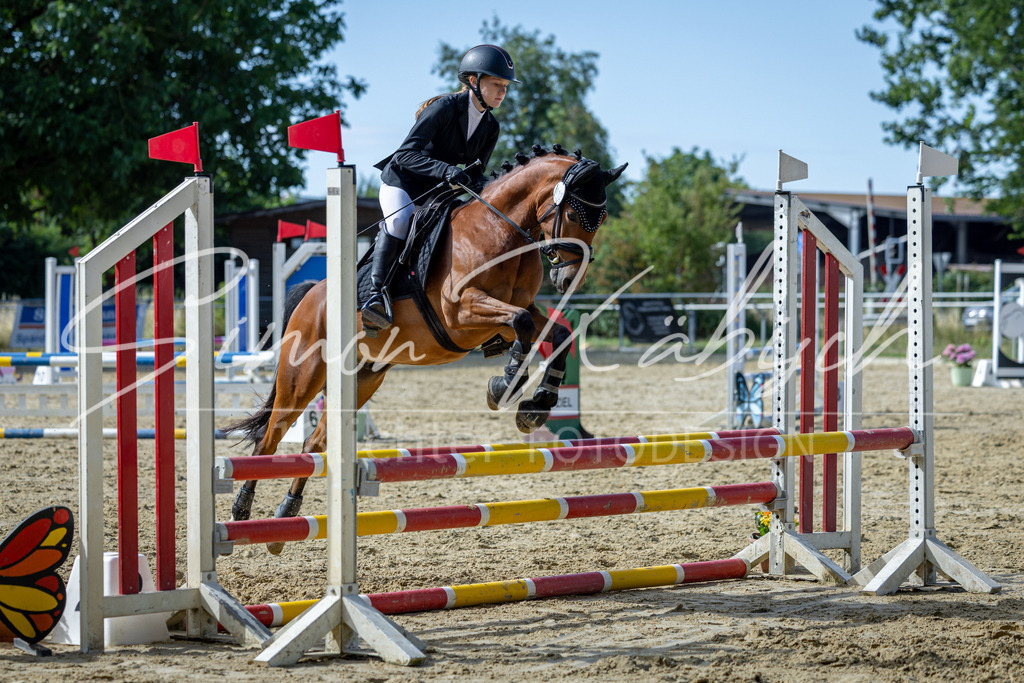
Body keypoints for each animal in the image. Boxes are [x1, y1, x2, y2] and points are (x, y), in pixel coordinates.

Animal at [226, 146, 627, 552]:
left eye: (602, 218)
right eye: (573, 214)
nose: (568, 278)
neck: (499, 231)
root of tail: (311, 294)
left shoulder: (515, 310)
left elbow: (555, 333)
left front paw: (538, 403)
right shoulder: (461, 312)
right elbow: (522, 325)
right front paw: (505, 386)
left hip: (363, 378)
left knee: (315, 441)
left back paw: (287, 514)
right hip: (303, 375)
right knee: (271, 436)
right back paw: (242, 509)